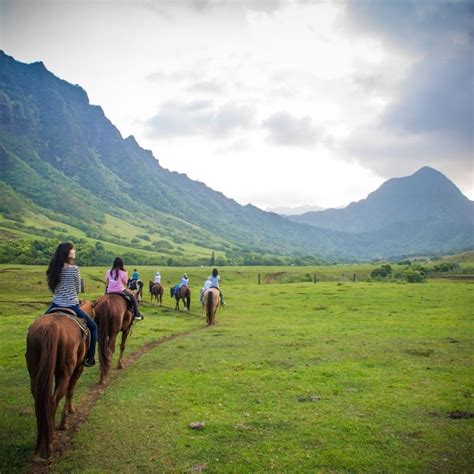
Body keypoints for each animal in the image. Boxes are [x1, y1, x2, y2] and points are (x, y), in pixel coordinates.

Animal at [25, 300, 95, 460]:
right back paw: (50, 442)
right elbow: (71, 390)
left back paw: (40, 445)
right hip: (65, 373)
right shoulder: (78, 368)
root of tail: (51, 327)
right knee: (52, 401)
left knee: (40, 401)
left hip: (36, 373)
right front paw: (65, 419)